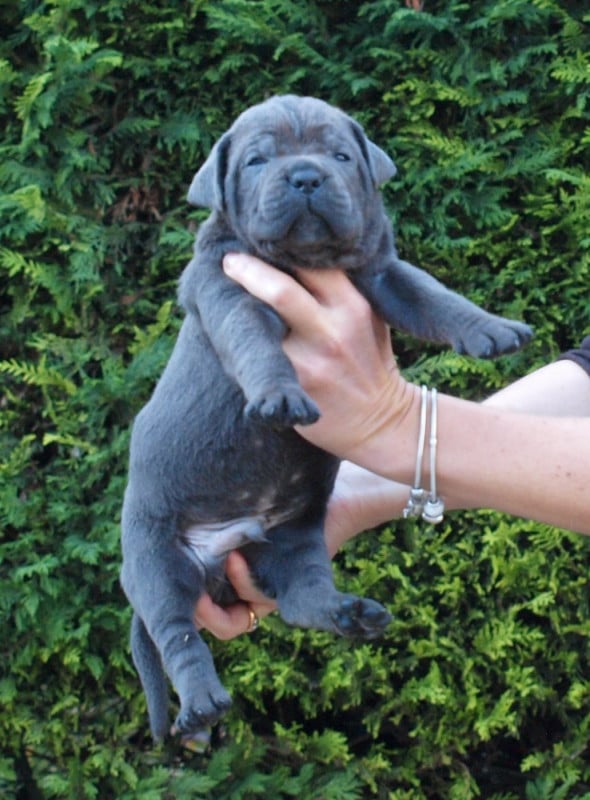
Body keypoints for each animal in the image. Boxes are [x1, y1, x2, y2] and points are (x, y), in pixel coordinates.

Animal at [120, 95, 532, 741]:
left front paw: (492, 327)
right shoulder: (226, 285)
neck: (305, 262)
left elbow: (433, 293)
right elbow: (252, 338)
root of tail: (221, 550)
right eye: (258, 160)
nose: (306, 176)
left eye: (340, 155)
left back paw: (350, 613)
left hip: (289, 541)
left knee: (302, 595)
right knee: (175, 630)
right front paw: (279, 394)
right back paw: (201, 702)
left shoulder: (384, 273)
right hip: (153, 552)